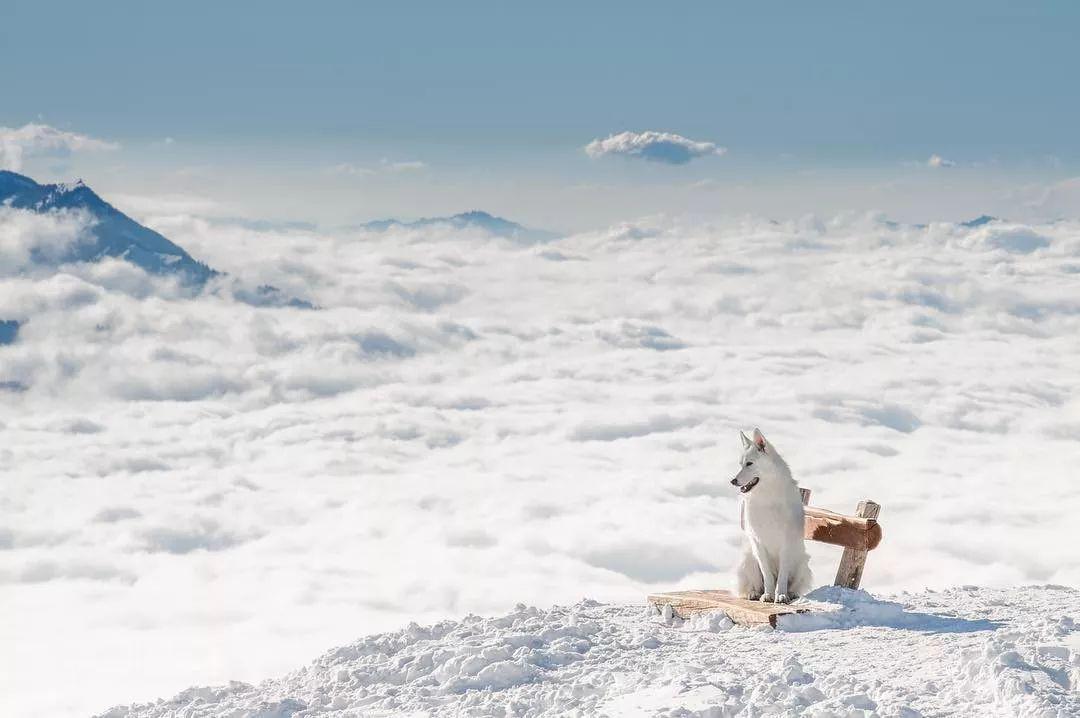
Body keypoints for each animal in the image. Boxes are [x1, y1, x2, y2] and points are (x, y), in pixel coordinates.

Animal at [730, 427, 807, 600]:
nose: (733, 481)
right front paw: (768, 595)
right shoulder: (758, 542)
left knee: (795, 584)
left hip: (801, 562)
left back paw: (791, 594)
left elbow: (783, 575)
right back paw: (753, 593)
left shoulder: (786, 543)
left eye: (749, 464)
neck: (767, 497)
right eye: (740, 464)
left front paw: (781, 595)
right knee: (755, 585)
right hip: (748, 558)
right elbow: (767, 575)